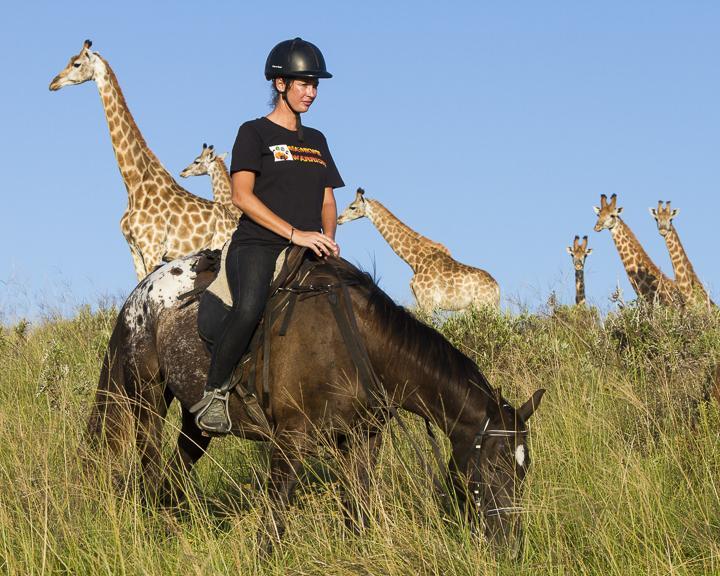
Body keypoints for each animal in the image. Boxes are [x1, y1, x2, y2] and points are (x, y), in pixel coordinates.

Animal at [87, 251, 544, 552]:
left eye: (523, 472)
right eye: (495, 467)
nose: (510, 547)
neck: (358, 344)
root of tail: (140, 292)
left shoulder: (362, 440)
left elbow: (358, 512)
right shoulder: (290, 440)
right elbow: (273, 524)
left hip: (196, 424)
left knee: (173, 474)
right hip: (146, 402)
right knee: (149, 473)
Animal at [338, 189, 500, 310]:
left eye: (352, 207)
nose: (339, 219)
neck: (415, 260)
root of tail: (497, 288)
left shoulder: (427, 301)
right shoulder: (421, 301)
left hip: (482, 305)